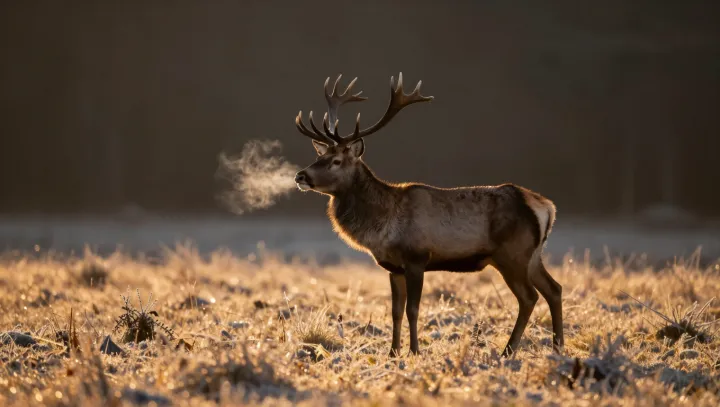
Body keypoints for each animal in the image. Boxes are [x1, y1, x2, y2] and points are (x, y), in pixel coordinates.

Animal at [292, 73, 563, 358]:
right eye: (319, 156)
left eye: (336, 161)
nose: (301, 176)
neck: (383, 226)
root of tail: (546, 207)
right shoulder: (394, 267)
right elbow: (395, 312)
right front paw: (393, 353)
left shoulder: (417, 258)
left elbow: (413, 310)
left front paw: (414, 351)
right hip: (532, 256)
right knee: (554, 289)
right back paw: (557, 346)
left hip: (512, 254)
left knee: (529, 297)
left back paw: (508, 351)